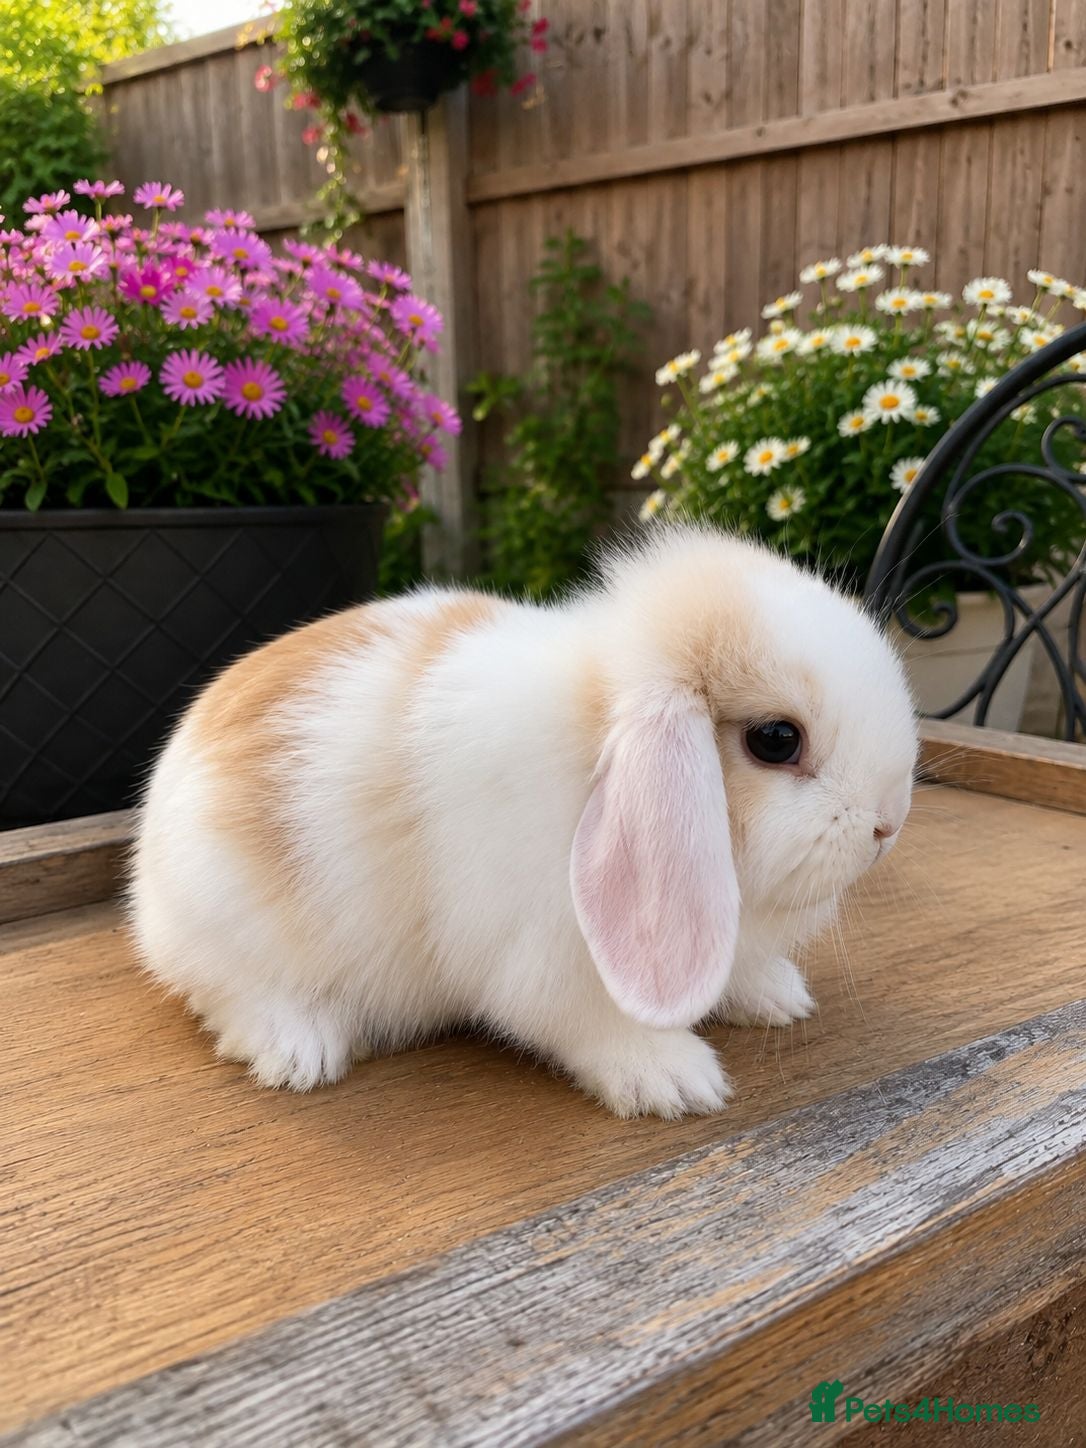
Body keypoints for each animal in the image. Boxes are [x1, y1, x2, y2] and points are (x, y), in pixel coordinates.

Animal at [129, 524, 917, 1118]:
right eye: (776, 740)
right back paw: (301, 1052)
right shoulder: (547, 960)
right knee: (226, 993)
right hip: (227, 921)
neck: (593, 726)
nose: (888, 825)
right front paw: (676, 1080)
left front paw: (778, 998)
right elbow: (588, 1023)